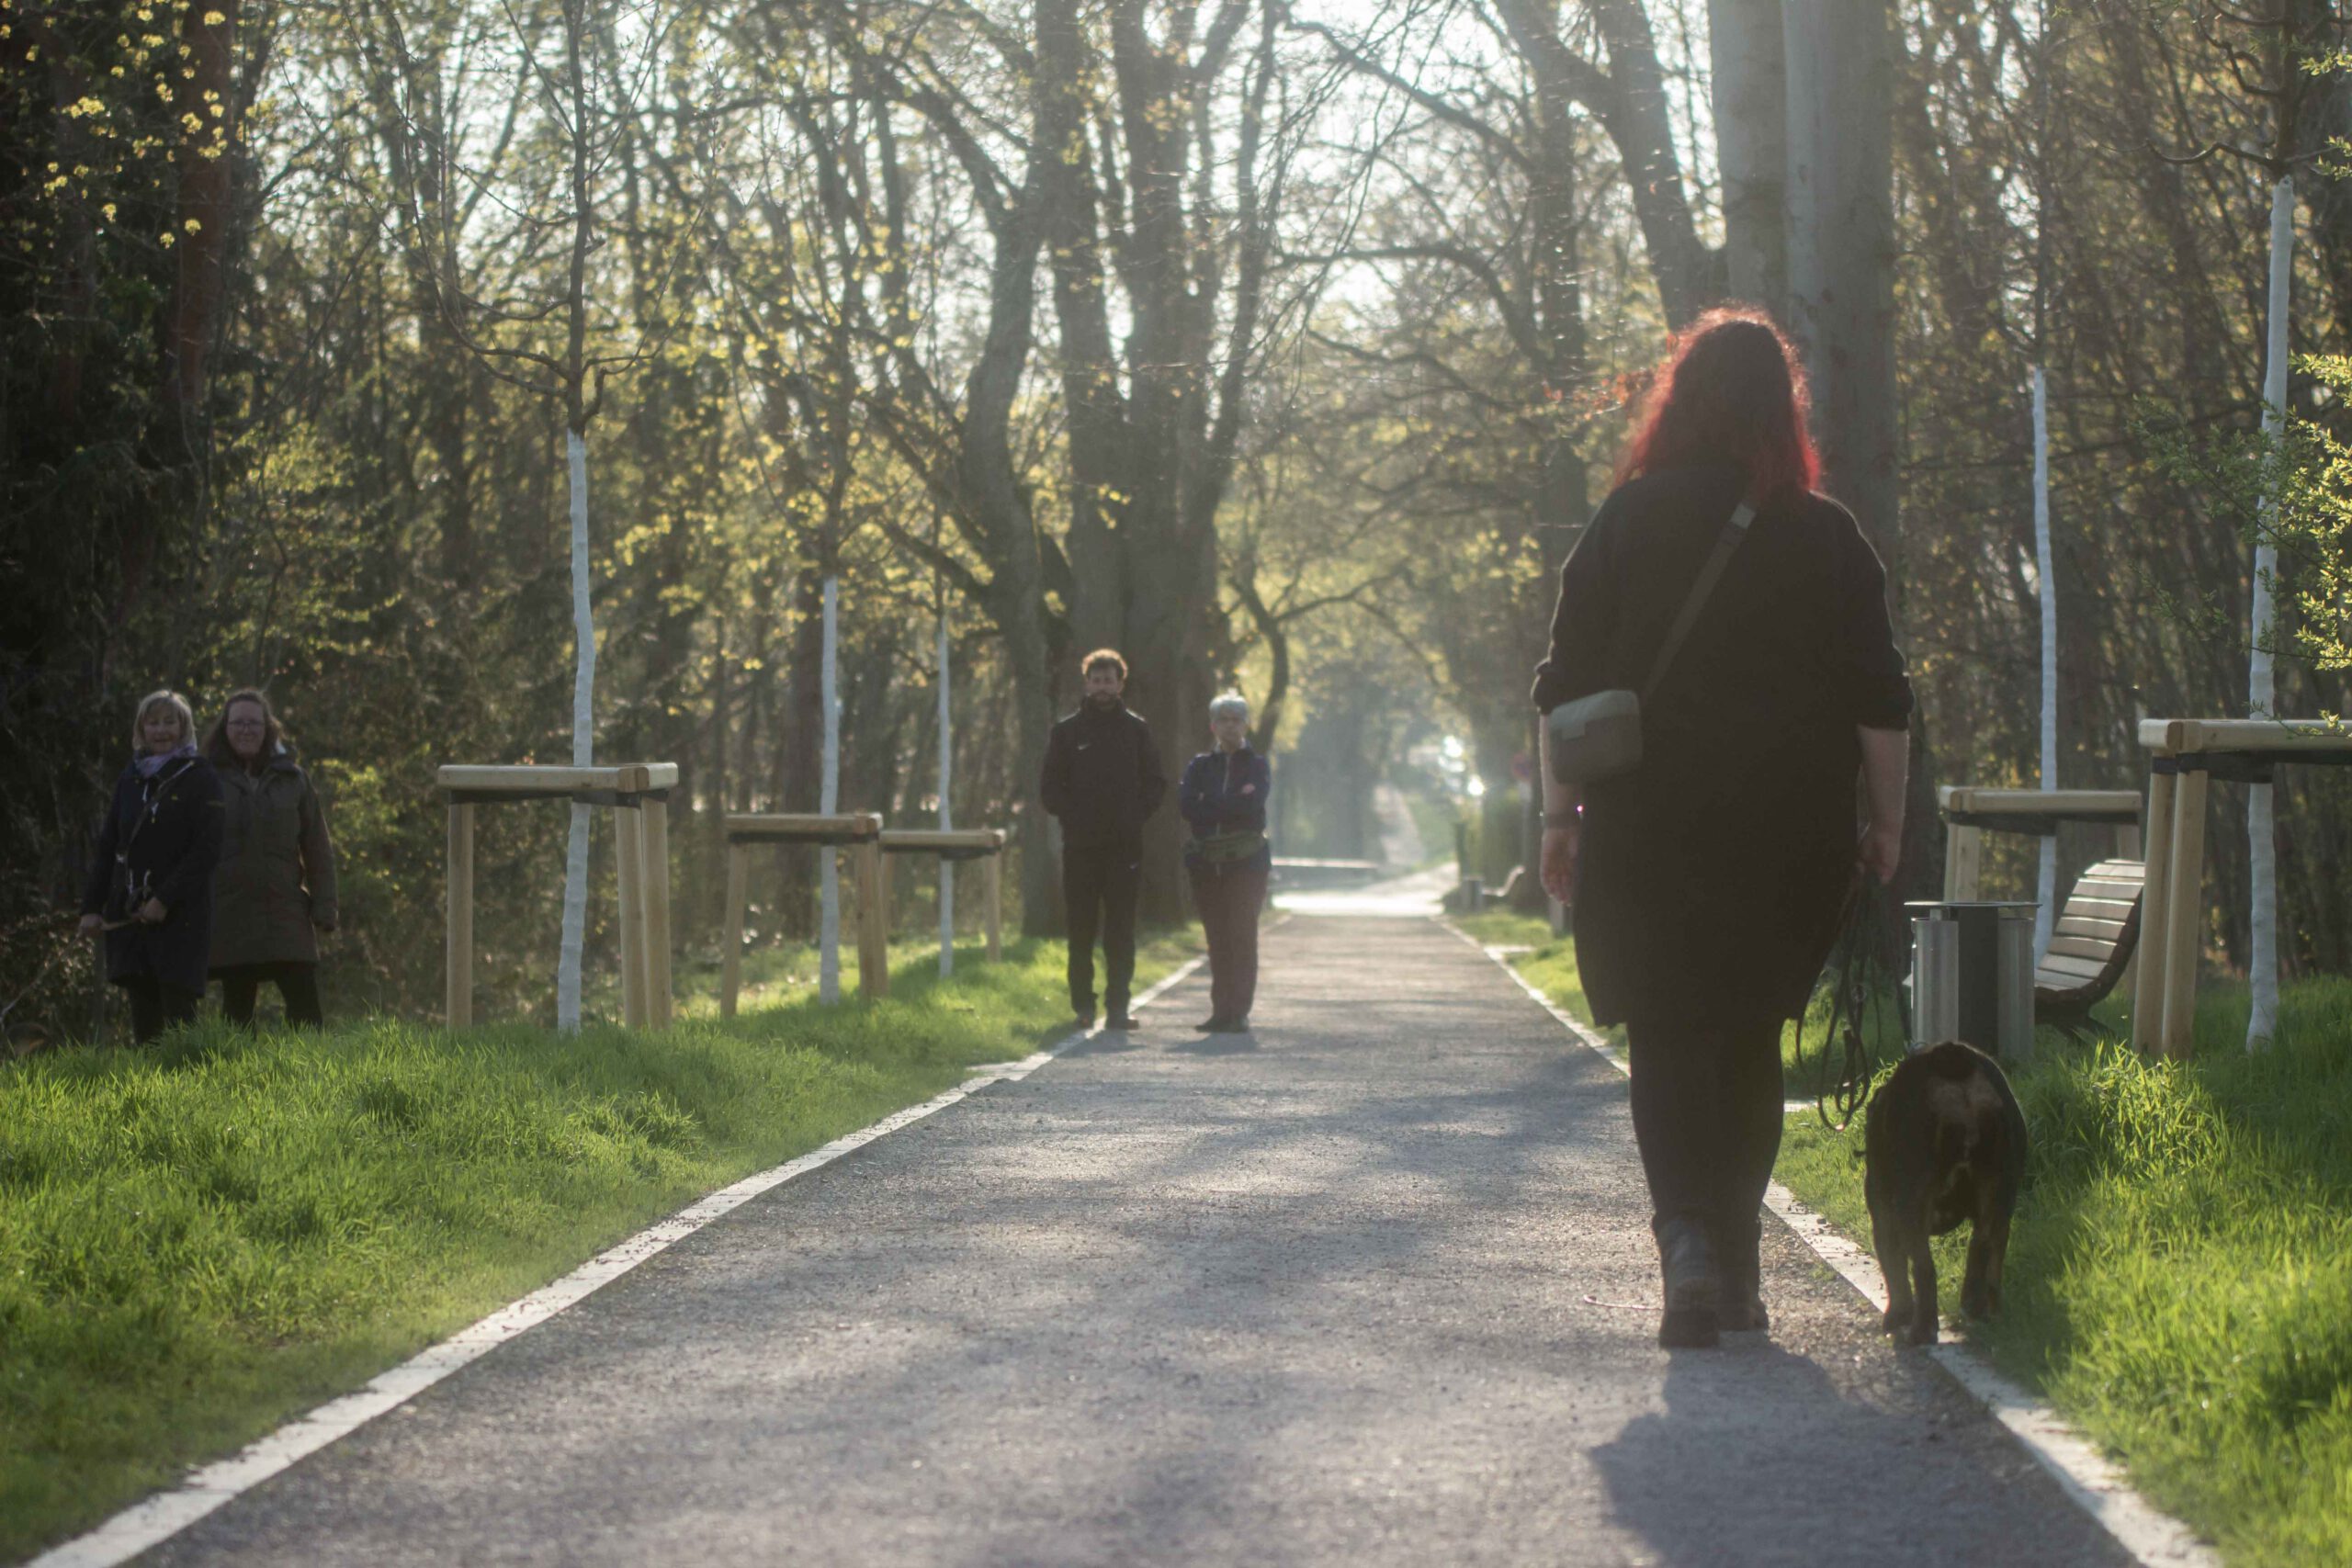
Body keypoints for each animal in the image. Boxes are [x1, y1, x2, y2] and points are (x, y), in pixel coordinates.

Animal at [1862, 1048, 2031, 1344]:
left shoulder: (1883, 1216)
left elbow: (1895, 1270)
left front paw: (1897, 1315)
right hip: (1999, 1198)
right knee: (1985, 1253)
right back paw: (1982, 1310)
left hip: (1911, 1203)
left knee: (1924, 1268)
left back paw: (1921, 1330)